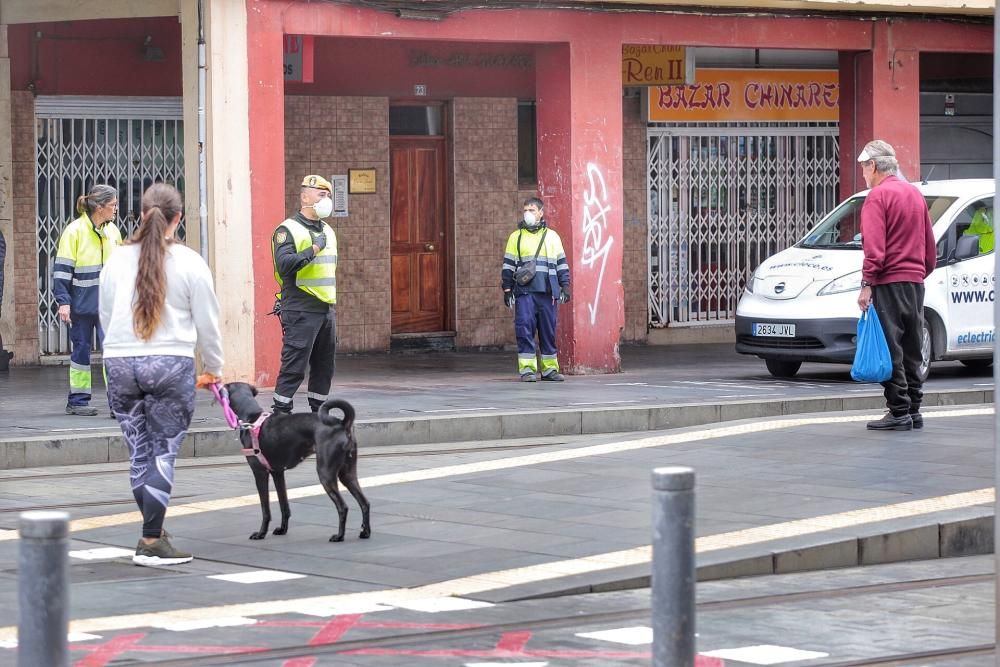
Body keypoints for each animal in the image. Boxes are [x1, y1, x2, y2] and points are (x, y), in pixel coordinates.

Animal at [223, 384, 372, 544]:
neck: (251, 418)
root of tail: (342, 424)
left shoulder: (260, 473)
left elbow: (265, 509)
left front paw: (261, 533)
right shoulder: (278, 473)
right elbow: (284, 505)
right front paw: (282, 529)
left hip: (325, 473)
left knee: (343, 507)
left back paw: (339, 536)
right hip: (347, 473)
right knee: (364, 503)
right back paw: (365, 532)